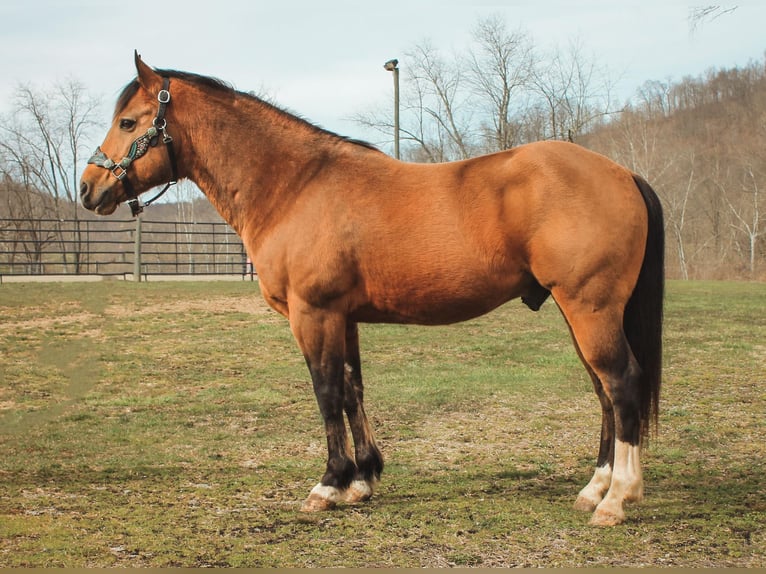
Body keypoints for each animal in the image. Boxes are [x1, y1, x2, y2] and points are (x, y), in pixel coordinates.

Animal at [79, 53, 664, 528]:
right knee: (603, 392)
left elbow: (326, 393)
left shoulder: (313, 314)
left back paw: (617, 498)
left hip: (589, 308)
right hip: (580, 312)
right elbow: (353, 389)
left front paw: (328, 484)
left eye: (128, 121)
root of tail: (623, 173)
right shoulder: (345, 317)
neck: (295, 185)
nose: (88, 187)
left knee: (622, 384)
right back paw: (594, 489)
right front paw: (362, 480)